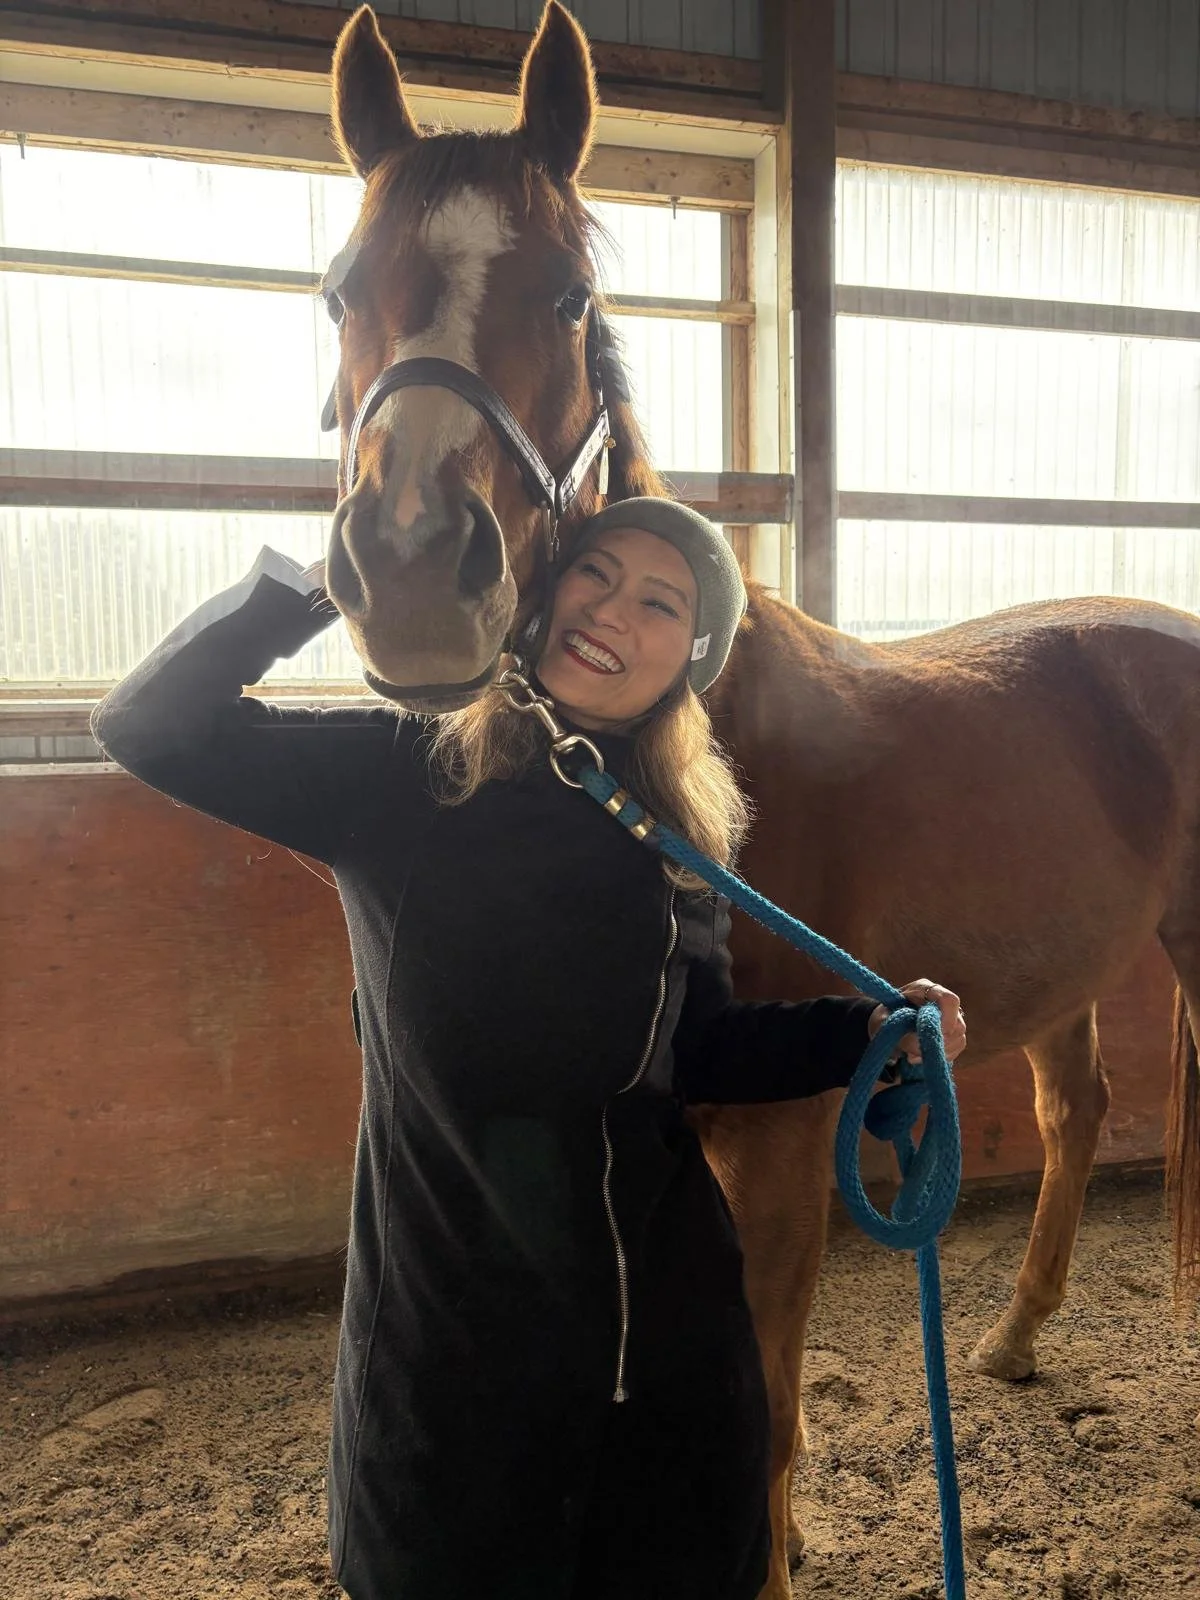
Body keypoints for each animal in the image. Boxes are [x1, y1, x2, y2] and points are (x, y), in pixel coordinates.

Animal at [319, 6, 1200, 1597]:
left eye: (568, 298)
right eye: (344, 286)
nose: (414, 567)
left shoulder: (786, 1156)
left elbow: (775, 1418)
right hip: (1065, 968)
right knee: (1078, 1104)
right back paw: (1012, 1336)